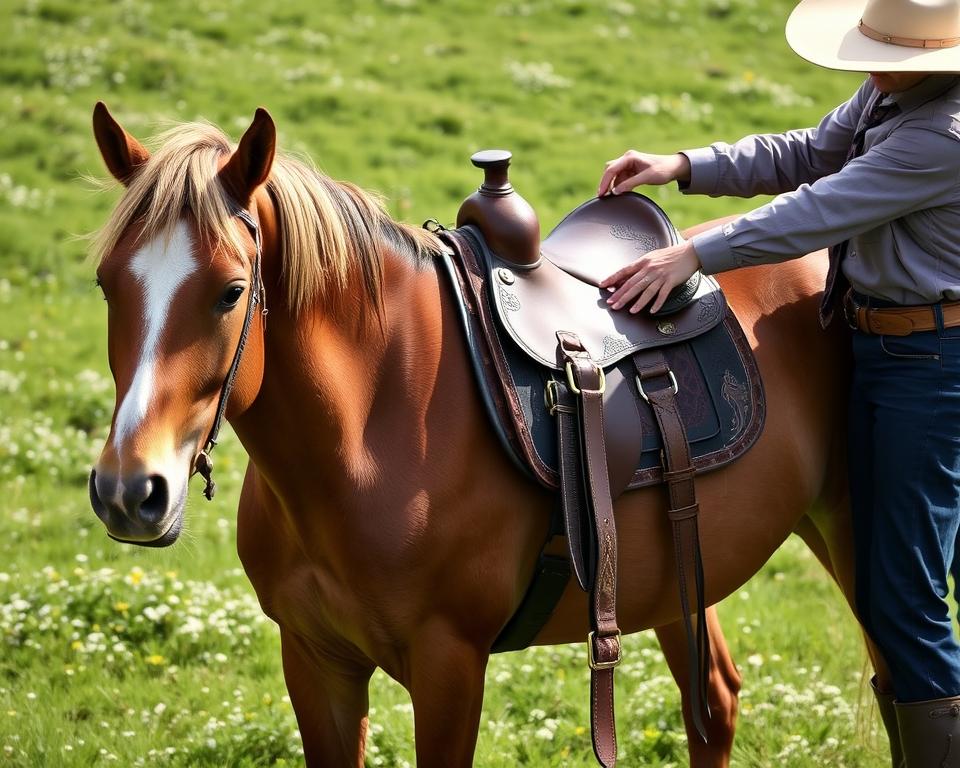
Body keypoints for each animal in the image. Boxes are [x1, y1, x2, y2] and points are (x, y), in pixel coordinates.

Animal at [86, 102, 887, 767]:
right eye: (104, 284)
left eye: (230, 292)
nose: (130, 491)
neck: (374, 427)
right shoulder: (316, 662)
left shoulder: (449, 665)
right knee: (711, 704)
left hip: (850, 535)